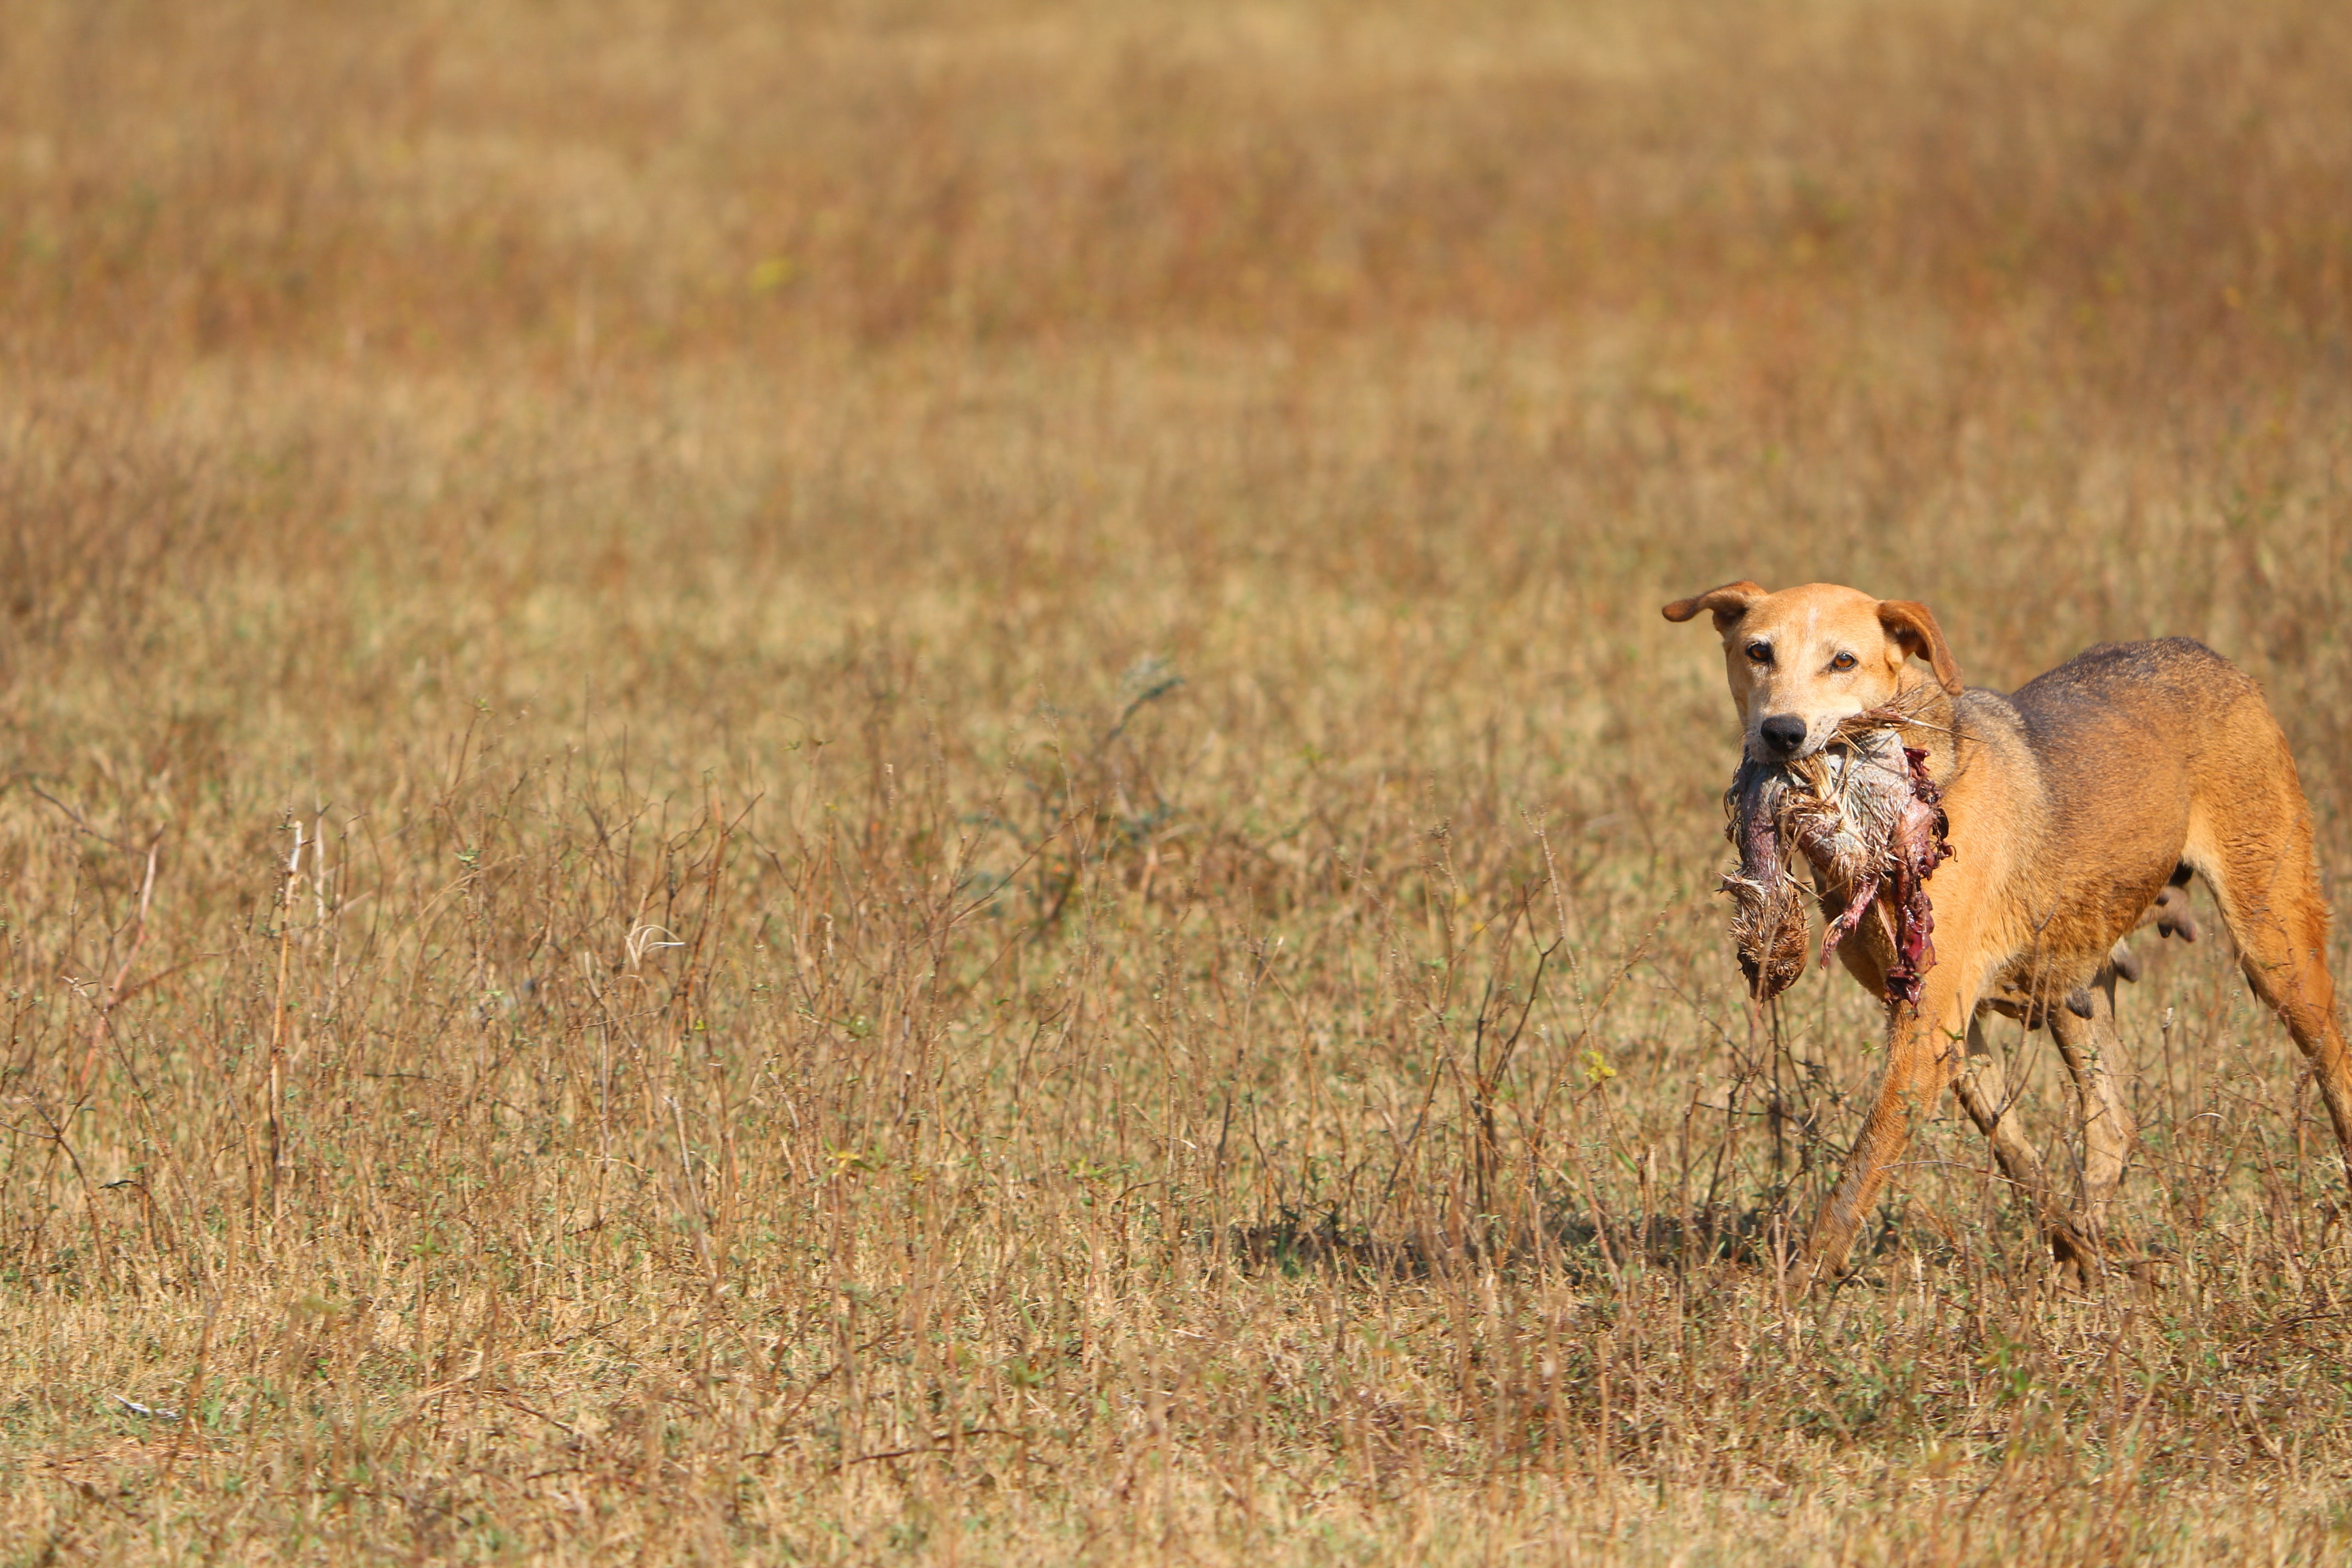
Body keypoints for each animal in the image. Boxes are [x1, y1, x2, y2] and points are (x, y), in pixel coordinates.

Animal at [1665, 583, 2352, 1279]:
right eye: (1758, 652)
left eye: (1844, 661)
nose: (1782, 733)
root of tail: (2211, 658)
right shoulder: (1946, 1026)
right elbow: (2016, 1152)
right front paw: (2076, 1251)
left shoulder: (1927, 1028)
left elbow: (1863, 1165)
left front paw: (1801, 1283)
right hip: (2073, 981)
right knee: (2112, 1123)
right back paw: (2095, 1239)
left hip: (2277, 948)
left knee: (2334, 1063)